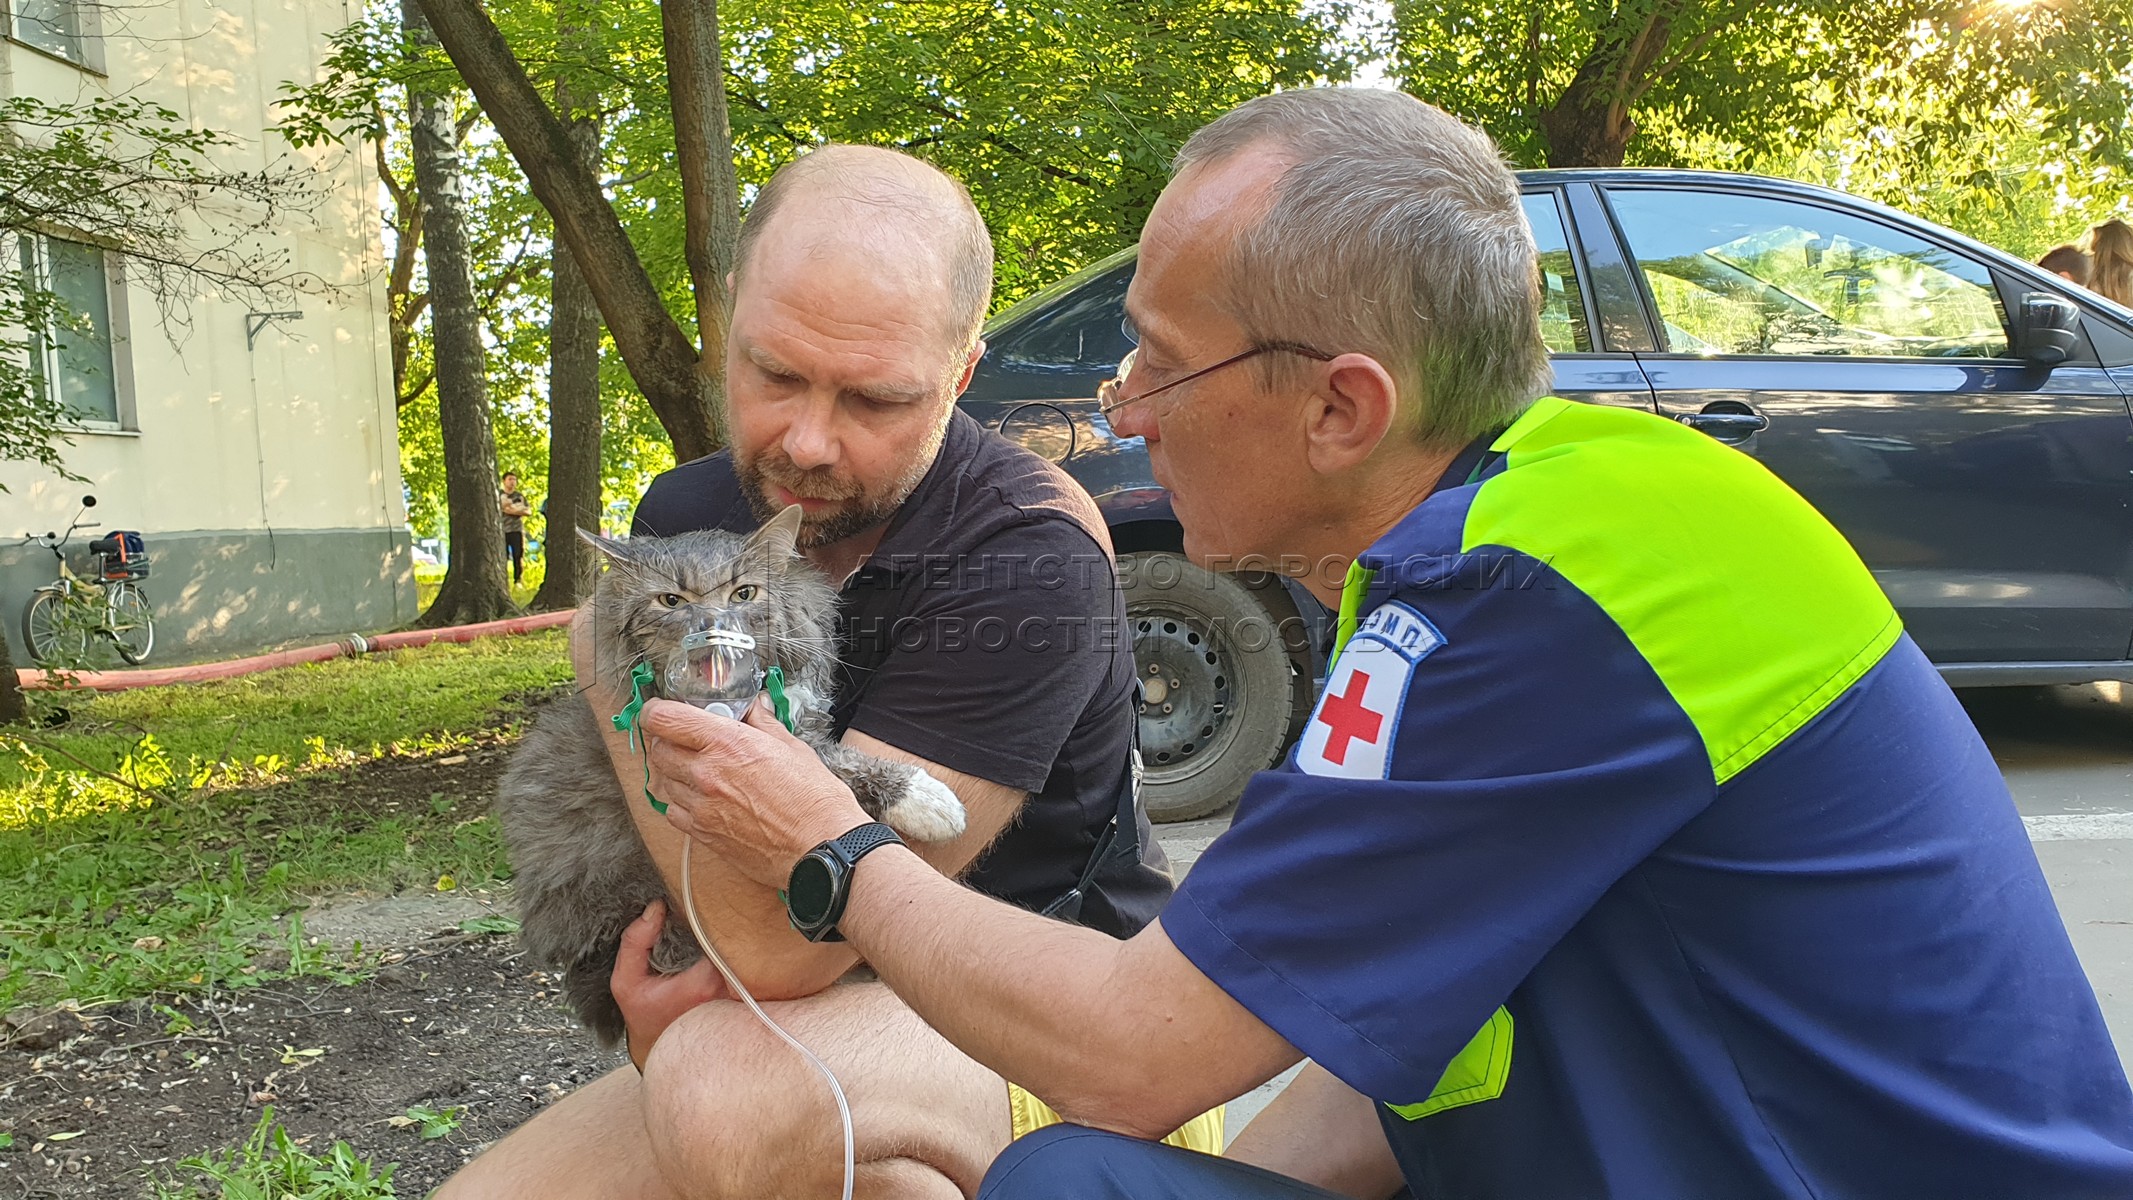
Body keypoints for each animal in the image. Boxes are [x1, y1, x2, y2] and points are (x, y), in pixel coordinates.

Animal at [494, 509, 964, 1052]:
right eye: (671, 601)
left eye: (743, 593)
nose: (714, 629)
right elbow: (837, 768)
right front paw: (928, 799)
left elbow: (837, 764)